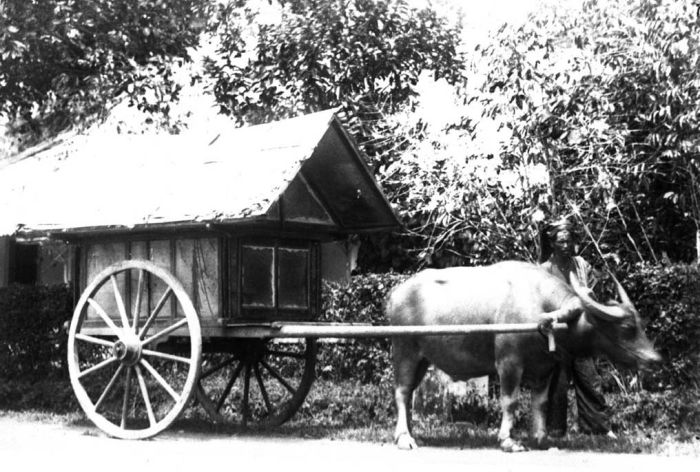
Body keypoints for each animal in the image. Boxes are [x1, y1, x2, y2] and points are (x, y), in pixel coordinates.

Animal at [386, 260, 660, 452]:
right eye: (626, 327)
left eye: (641, 324)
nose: (655, 360)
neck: (541, 304)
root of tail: (395, 295)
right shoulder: (509, 363)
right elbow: (511, 401)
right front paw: (508, 440)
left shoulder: (545, 368)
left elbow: (540, 402)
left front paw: (540, 437)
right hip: (405, 350)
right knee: (401, 392)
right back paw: (404, 438)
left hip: (423, 359)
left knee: (409, 392)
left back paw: (411, 434)